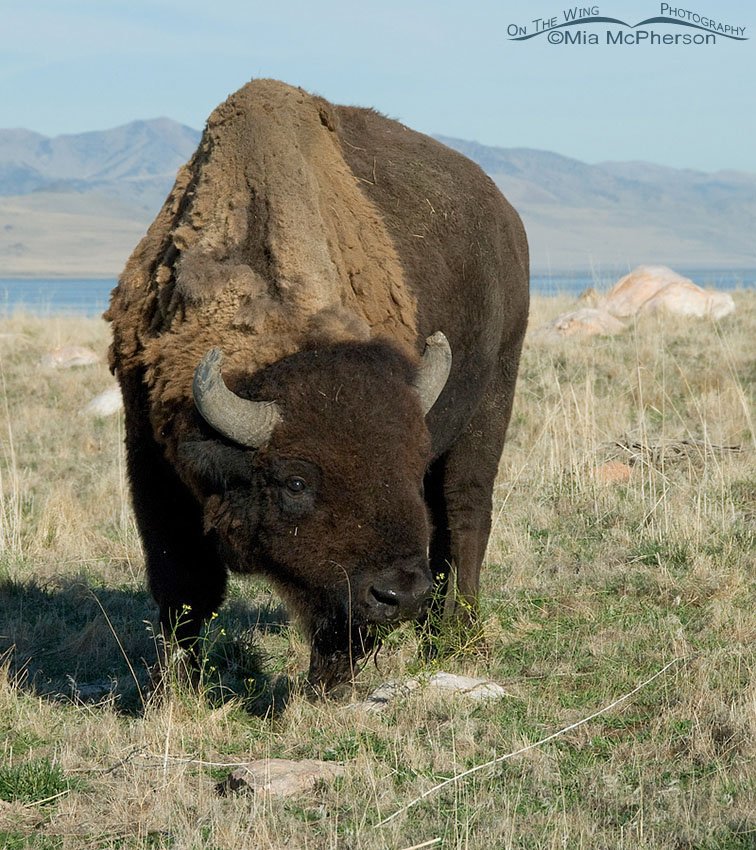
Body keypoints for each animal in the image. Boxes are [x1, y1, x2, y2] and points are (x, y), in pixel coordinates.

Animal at [106, 79, 529, 693]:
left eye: (406, 461)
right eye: (296, 482)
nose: (399, 595)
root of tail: (507, 218)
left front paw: (327, 686)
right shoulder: (152, 457)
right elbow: (183, 588)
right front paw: (175, 689)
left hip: (495, 394)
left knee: (464, 513)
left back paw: (454, 636)